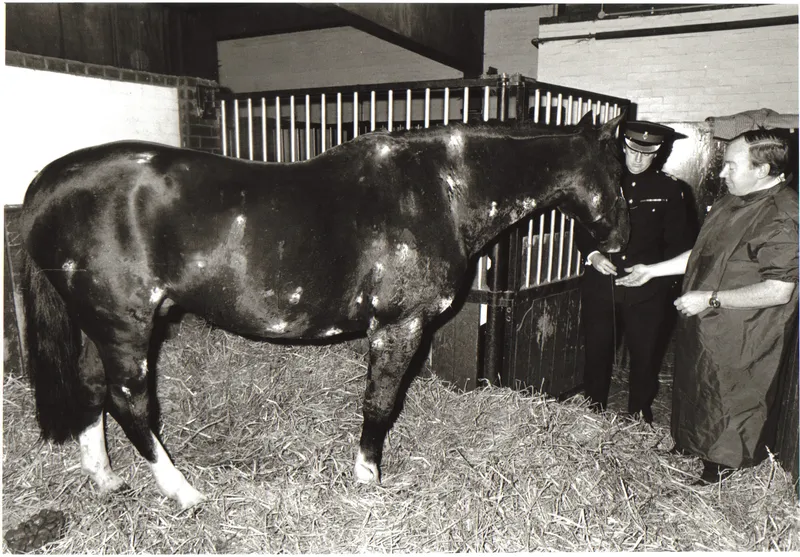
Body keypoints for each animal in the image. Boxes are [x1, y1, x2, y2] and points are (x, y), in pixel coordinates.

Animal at [18, 109, 628, 508]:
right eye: (620, 174)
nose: (619, 249)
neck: (442, 190)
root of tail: (49, 184)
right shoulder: (399, 326)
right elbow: (380, 405)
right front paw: (368, 480)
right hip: (125, 324)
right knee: (130, 403)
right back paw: (183, 491)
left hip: (101, 326)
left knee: (92, 388)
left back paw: (105, 479)